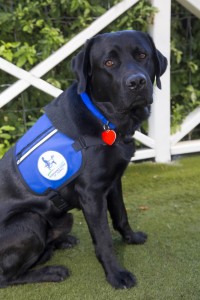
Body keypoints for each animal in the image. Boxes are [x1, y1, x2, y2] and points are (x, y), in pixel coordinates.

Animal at [0, 30, 166, 288]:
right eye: (109, 63)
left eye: (142, 55)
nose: (137, 82)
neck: (105, 118)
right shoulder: (92, 194)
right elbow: (104, 239)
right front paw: (116, 275)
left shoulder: (113, 181)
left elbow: (121, 215)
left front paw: (132, 238)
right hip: (29, 220)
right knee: (6, 277)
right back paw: (52, 271)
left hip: (63, 218)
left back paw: (60, 243)